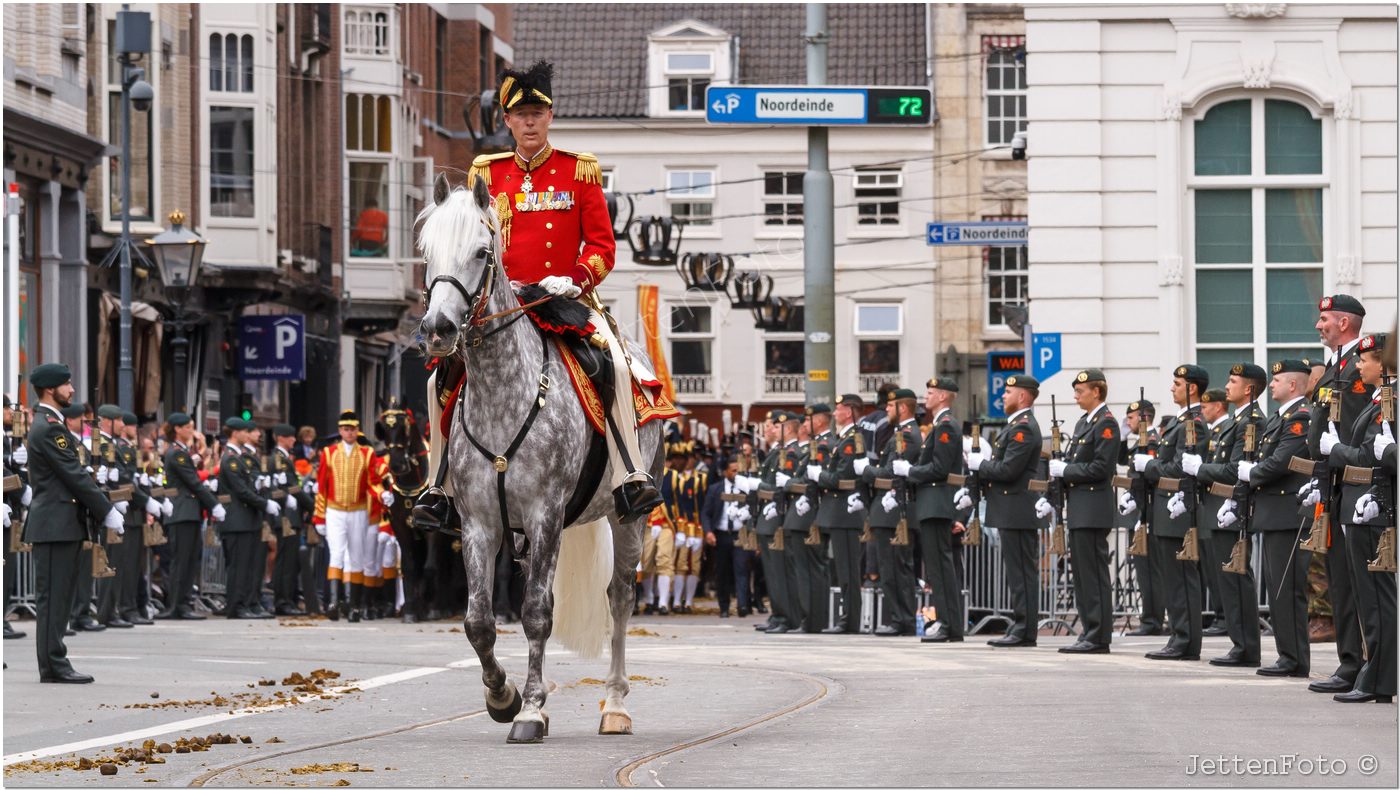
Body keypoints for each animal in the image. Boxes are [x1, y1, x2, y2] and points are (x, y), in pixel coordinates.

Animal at [414, 175, 660, 745]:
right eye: (426, 251)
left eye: (481, 252)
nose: (438, 329)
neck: (505, 391)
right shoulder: (480, 523)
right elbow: (479, 621)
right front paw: (502, 696)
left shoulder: (546, 513)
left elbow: (536, 613)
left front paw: (528, 711)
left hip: (627, 517)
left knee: (619, 597)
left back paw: (615, 705)